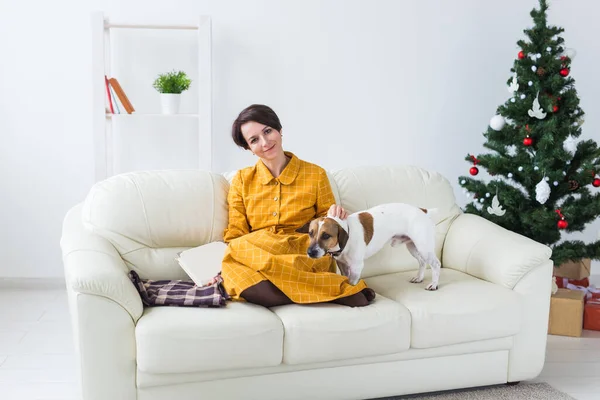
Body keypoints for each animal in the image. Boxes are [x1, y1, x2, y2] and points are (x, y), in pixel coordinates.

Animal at [296, 203, 440, 290]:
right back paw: (419, 278)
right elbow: (345, 277)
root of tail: (423, 210)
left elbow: (352, 282)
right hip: (413, 247)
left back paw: (434, 284)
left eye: (326, 235)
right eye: (310, 233)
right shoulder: (342, 264)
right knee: (422, 262)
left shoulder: (356, 267)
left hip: (423, 247)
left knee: (436, 264)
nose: (310, 252)